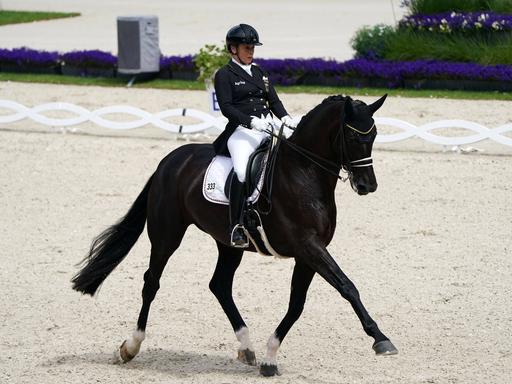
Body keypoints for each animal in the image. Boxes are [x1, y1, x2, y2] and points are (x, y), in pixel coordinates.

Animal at [71, 93, 396, 376]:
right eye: (353, 138)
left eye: (374, 136)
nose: (368, 185)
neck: (304, 173)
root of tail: (170, 161)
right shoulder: (308, 246)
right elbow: (347, 286)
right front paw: (381, 340)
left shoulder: (308, 254)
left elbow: (297, 305)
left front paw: (269, 358)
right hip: (166, 235)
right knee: (152, 282)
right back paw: (130, 347)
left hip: (228, 243)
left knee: (219, 285)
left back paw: (247, 347)